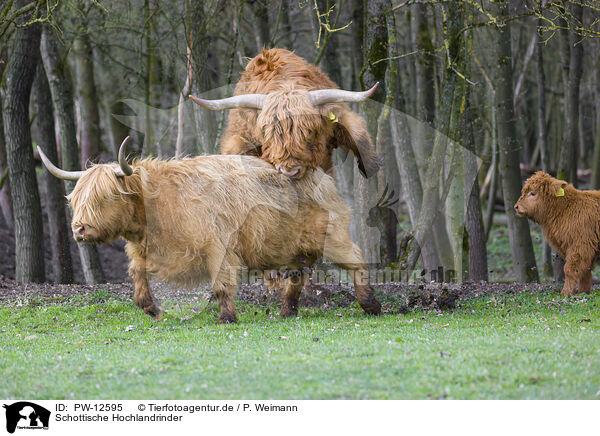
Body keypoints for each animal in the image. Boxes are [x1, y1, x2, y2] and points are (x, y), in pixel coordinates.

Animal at [39, 138, 382, 322]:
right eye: (76, 199)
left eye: (106, 196)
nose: (79, 229)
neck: (156, 206)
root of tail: (320, 176)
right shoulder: (145, 250)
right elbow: (137, 276)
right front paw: (150, 308)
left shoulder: (219, 247)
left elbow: (221, 285)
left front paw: (227, 318)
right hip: (295, 248)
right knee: (297, 276)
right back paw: (287, 312)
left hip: (333, 237)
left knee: (356, 261)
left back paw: (371, 305)